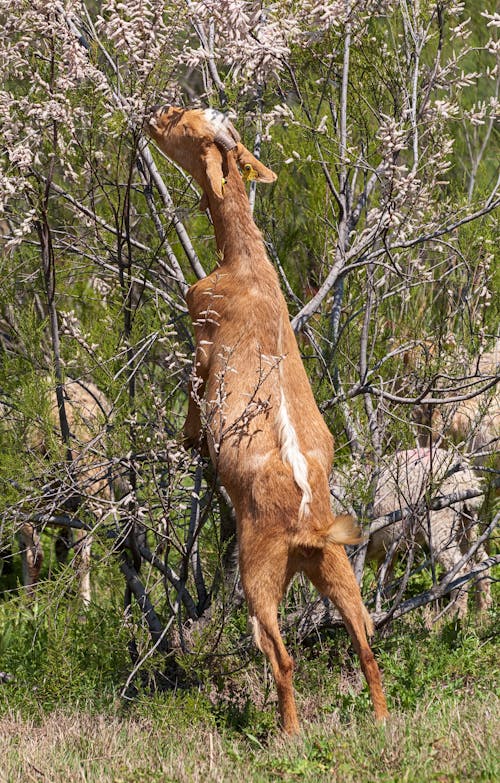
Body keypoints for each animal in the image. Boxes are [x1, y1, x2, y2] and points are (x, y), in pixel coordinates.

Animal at [145, 105, 386, 736]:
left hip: (257, 574)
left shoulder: (203, 329)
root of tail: (309, 531)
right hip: (337, 567)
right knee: (365, 640)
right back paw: (380, 721)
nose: (153, 114)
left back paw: (288, 732)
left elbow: (194, 393)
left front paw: (188, 442)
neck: (245, 265)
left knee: (281, 655)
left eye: (183, 121)